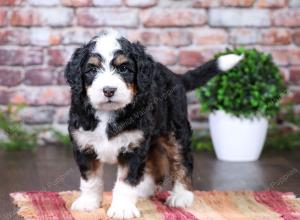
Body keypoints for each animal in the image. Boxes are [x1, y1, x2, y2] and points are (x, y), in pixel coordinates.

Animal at [64, 29, 243, 220]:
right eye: (92, 69)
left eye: (124, 68)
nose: (109, 90)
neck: (108, 113)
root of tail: (175, 76)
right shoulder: (84, 144)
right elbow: (90, 179)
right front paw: (88, 203)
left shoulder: (134, 147)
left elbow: (126, 182)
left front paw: (122, 208)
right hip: (152, 137)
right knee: (157, 164)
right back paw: (143, 190)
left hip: (176, 130)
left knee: (182, 161)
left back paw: (181, 196)